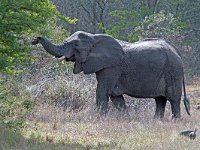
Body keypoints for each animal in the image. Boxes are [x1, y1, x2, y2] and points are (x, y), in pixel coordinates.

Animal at [31, 30, 191, 119]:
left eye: (76, 45)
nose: (35, 39)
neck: (94, 37)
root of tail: (176, 52)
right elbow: (116, 97)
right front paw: (125, 119)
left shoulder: (112, 66)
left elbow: (102, 91)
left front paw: (99, 118)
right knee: (160, 100)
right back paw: (157, 120)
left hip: (173, 71)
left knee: (173, 99)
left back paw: (175, 121)